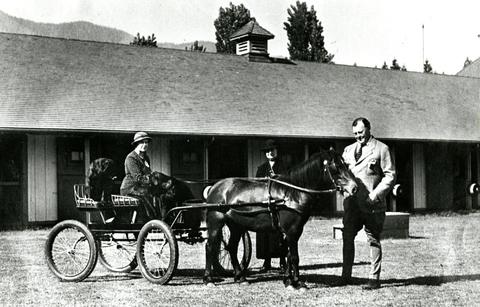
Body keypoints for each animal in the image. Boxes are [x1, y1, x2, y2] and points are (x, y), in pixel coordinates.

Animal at [202, 148, 356, 290]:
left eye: (345, 164)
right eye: (336, 166)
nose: (354, 188)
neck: (293, 193)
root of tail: (215, 187)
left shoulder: (294, 231)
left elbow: (287, 255)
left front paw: (288, 280)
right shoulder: (292, 231)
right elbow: (294, 257)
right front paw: (297, 283)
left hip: (236, 225)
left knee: (232, 247)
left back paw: (240, 277)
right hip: (216, 222)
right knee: (210, 247)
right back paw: (209, 279)